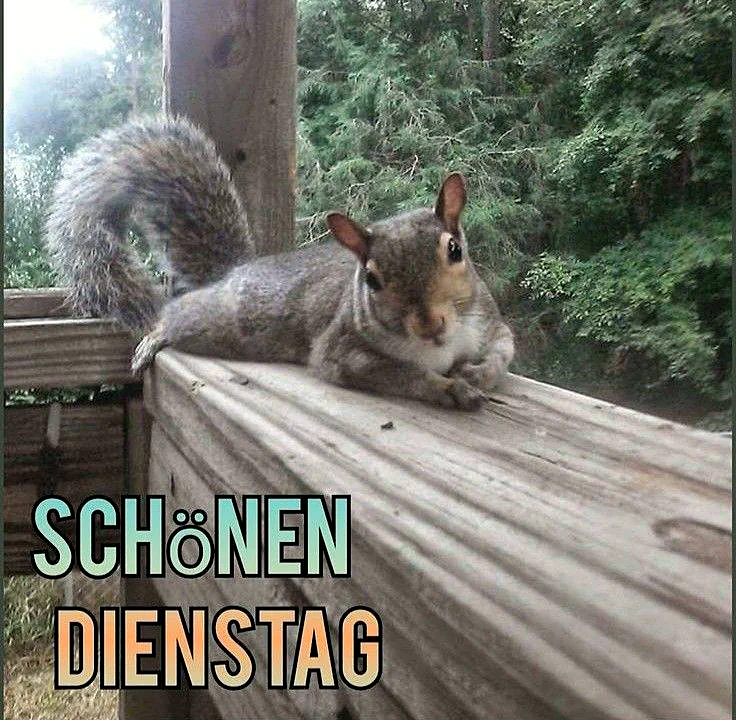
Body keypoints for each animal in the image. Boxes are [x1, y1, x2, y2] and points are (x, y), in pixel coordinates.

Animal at [45, 115, 514, 410]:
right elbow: (404, 376)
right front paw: (448, 389)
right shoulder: (342, 352)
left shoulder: (489, 322)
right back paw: (156, 335)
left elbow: (503, 350)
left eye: (455, 250)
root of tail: (231, 273)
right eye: (371, 279)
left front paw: (477, 373)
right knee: (176, 313)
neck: (441, 347)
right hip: (216, 319)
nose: (429, 324)